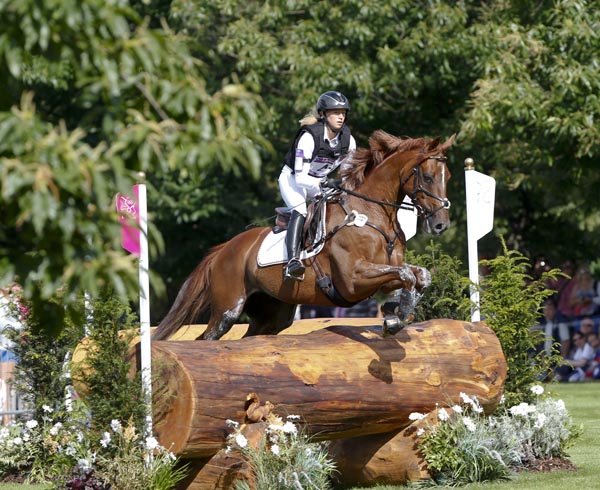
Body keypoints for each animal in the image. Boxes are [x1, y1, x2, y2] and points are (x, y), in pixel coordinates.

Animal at [154, 129, 454, 340]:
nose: (441, 225)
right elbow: (406, 275)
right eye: (428, 177)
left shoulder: (384, 275)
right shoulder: (353, 280)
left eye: (448, 176)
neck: (372, 216)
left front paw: (397, 315)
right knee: (207, 338)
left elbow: (418, 276)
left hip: (272, 313)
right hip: (228, 308)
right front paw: (395, 319)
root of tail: (223, 250)